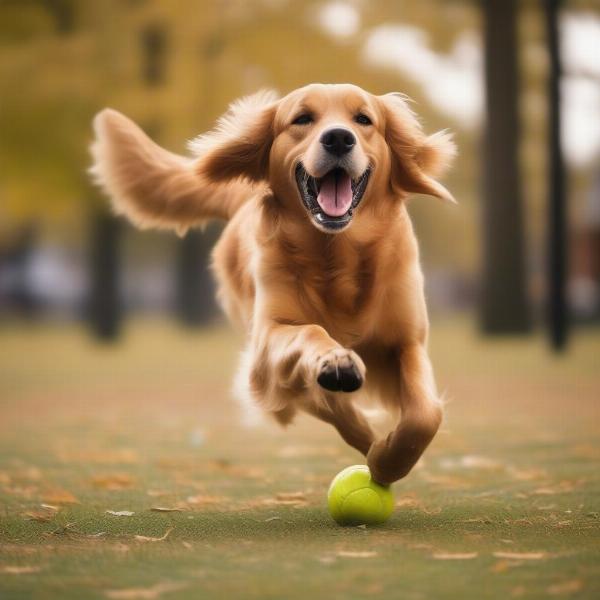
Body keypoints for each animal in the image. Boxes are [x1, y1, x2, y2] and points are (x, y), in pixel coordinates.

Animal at [90, 84, 454, 486]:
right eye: (302, 119)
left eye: (363, 119)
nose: (339, 138)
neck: (336, 254)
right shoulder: (267, 341)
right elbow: (309, 333)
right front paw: (337, 363)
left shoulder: (406, 341)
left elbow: (425, 414)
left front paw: (389, 460)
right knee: (311, 397)